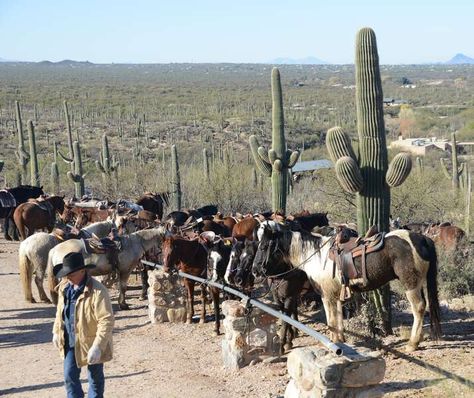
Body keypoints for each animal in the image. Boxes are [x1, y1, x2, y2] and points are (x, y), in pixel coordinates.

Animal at [254, 222, 442, 352]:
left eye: (263, 246)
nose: (255, 270)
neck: (316, 257)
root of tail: (422, 238)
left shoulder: (326, 295)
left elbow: (330, 319)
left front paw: (333, 342)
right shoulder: (336, 295)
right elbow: (338, 318)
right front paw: (339, 340)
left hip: (411, 284)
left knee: (419, 308)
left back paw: (412, 343)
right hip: (418, 283)